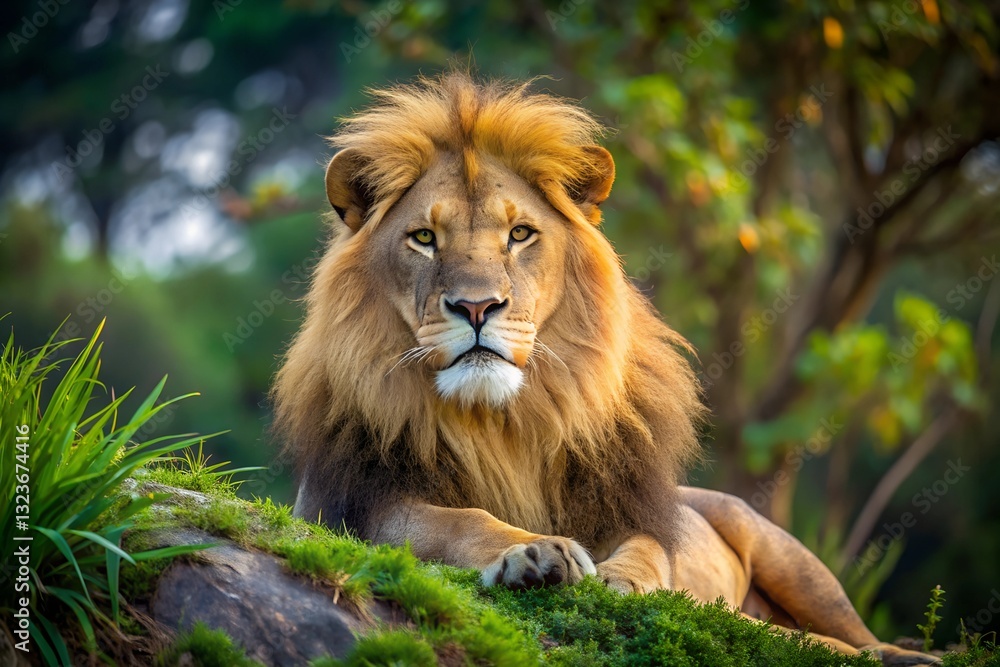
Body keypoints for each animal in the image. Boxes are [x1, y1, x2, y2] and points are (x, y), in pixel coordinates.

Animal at [272, 72, 938, 666]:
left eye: (520, 234)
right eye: (423, 238)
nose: (478, 307)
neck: (500, 424)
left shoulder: (631, 505)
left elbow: (649, 551)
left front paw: (627, 582)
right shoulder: (354, 505)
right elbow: (457, 522)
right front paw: (531, 554)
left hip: (784, 552)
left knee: (850, 636)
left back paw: (907, 655)